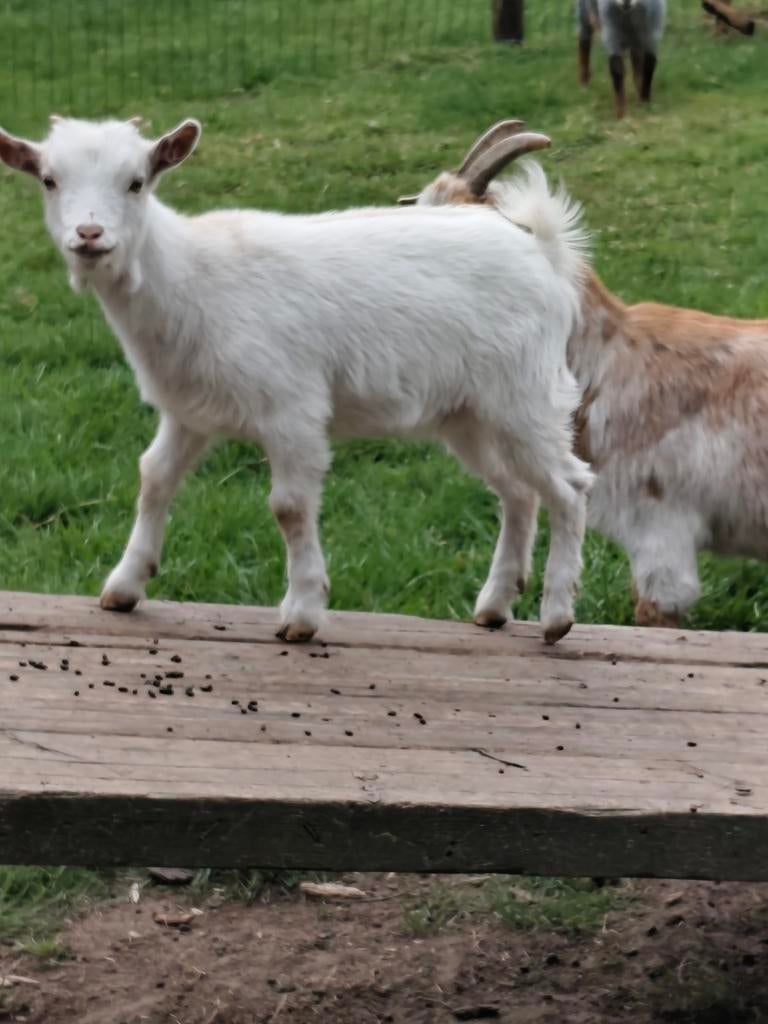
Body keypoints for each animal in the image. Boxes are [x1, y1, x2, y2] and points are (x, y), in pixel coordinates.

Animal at [0, 116, 593, 644]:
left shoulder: (292, 408)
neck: (190, 277)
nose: (89, 234)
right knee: (519, 491)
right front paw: (125, 586)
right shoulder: (189, 411)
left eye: (136, 181)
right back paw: (494, 605)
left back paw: (556, 615)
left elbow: (288, 507)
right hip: (470, 414)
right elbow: (154, 477)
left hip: (526, 395)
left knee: (570, 487)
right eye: (49, 180)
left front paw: (302, 612)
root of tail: (541, 250)